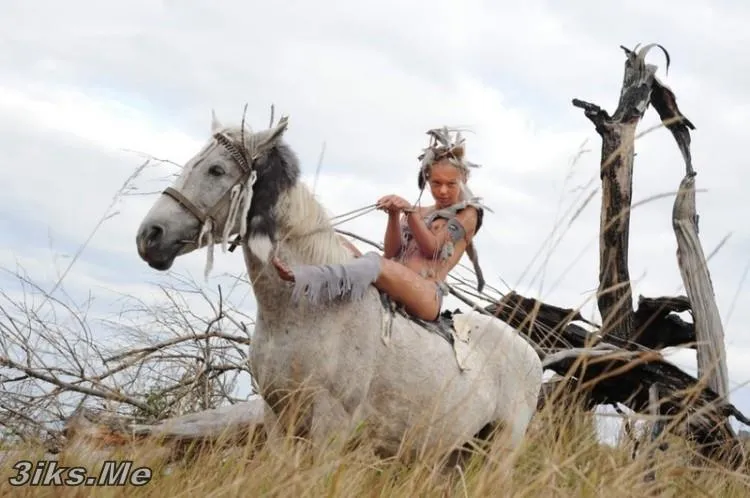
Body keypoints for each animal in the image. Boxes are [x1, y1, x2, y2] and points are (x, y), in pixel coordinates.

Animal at [135, 113, 544, 462]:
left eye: (217, 169)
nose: (149, 235)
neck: (307, 309)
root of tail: (532, 352)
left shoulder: (330, 428)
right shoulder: (277, 418)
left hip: (499, 453)